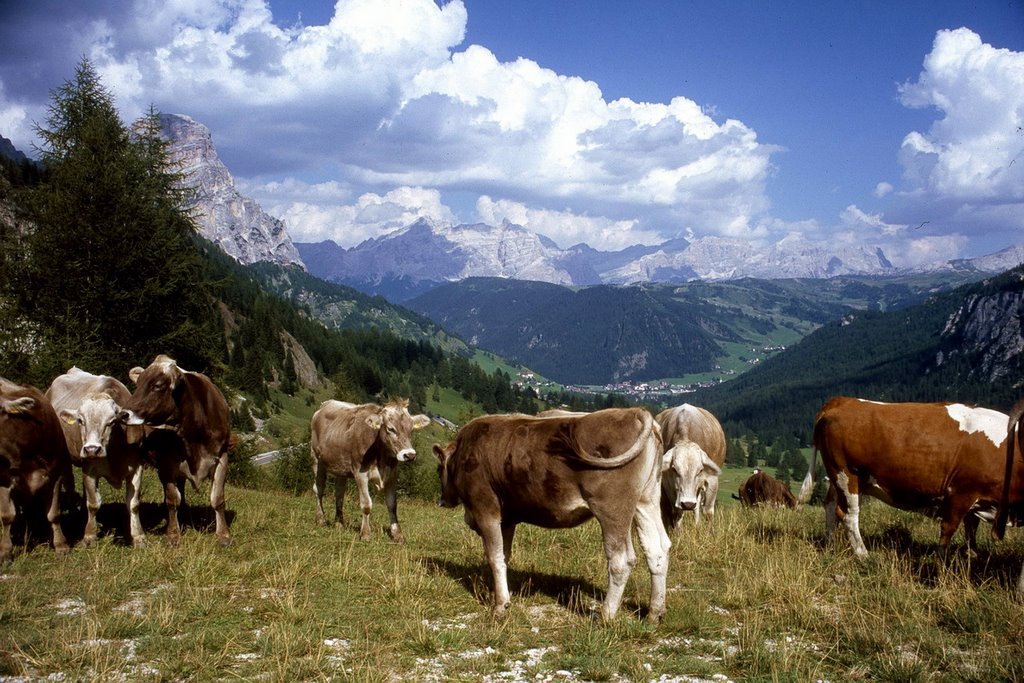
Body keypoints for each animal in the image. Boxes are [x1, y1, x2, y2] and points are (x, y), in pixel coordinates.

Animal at [0, 376, 70, 565]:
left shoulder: (56, 474)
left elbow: (54, 514)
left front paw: (61, 545)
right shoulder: (3, 479)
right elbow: (6, 516)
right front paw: (5, 552)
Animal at [119, 356, 232, 548]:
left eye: (157, 386)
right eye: (138, 383)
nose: (123, 414)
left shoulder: (222, 456)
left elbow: (217, 499)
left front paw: (223, 535)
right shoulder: (167, 463)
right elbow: (172, 499)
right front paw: (173, 535)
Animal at [307, 397, 428, 540]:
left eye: (411, 429)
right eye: (390, 429)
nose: (409, 455)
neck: (381, 457)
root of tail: (324, 405)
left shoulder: (392, 474)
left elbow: (392, 505)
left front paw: (397, 535)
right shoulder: (360, 473)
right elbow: (366, 504)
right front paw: (365, 534)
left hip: (341, 467)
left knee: (339, 493)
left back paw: (339, 523)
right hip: (316, 458)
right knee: (319, 489)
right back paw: (321, 520)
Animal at [798, 395, 1024, 561]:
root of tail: (842, 400)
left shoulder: (974, 499)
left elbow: (971, 530)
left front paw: (973, 556)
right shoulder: (961, 493)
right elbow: (948, 530)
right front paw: (941, 561)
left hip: (841, 477)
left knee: (830, 505)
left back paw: (830, 544)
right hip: (847, 475)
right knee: (848, 514)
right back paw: (863, 554)